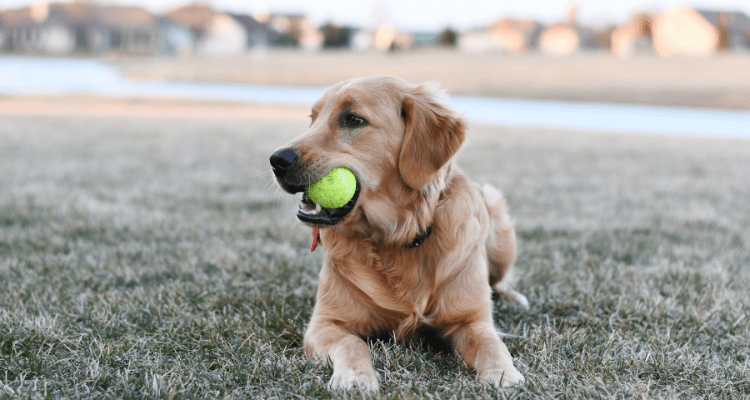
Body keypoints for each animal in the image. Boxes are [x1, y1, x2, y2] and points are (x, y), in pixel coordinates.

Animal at [272, 76, 528, 390]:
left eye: (353, 119)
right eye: (313, 119)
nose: (277, 160)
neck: (397, 237)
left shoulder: (472, 320)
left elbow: (492, 344)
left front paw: (504, 373)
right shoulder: (325, 322)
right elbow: (352, 344)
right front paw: (356, 376)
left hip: (497, 216)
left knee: (500, 280)